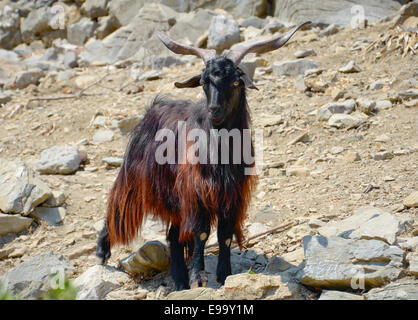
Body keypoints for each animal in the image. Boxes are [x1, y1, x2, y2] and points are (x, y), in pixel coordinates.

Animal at [96, 21, 308, 290]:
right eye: (205, 81)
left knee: (173, 237)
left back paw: (179, 279)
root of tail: (154, 107)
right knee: (117, 206)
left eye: (236, 82)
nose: (214, 110)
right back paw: (102, 252)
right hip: (135, 179)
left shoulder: (231, 196)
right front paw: (198, 277)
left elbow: (224, 235)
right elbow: (202, 232)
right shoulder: (197, 192)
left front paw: (224, 274)